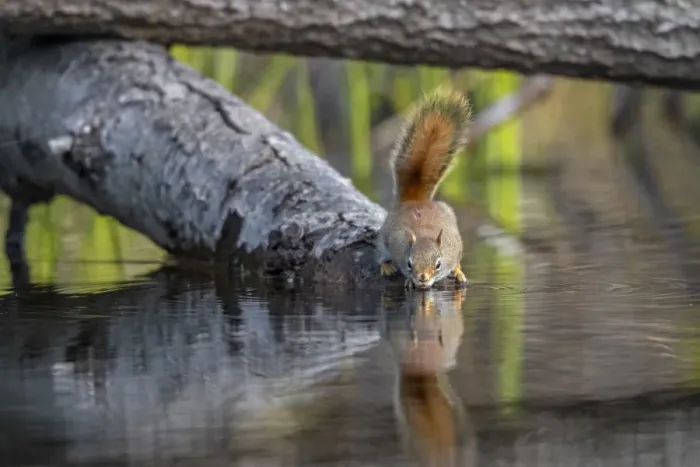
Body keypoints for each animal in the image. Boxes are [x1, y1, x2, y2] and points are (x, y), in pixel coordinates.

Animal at [377, 88, 472, 290]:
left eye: (438, 264)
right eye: (409, 263)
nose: (422, 278)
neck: (424, 234)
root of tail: (416, 199)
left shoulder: (455, 249)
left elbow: (457, 262)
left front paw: (458, 272)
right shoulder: (395, 241)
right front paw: (406, 278)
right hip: (384, 236)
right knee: (381, 252)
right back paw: (387, 266)